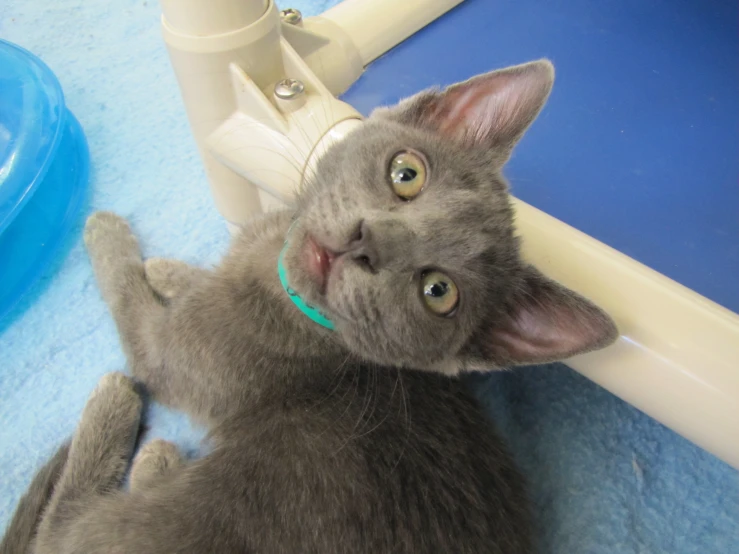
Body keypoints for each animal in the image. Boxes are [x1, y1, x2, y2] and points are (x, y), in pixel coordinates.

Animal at [1, 58, 620, 548]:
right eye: (407, 174)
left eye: (439, 292)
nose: (369, 243)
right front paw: (175, 271)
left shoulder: (171, 354)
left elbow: (129, 302)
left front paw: (112, 238)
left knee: (61, 530)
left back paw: (128, 426)